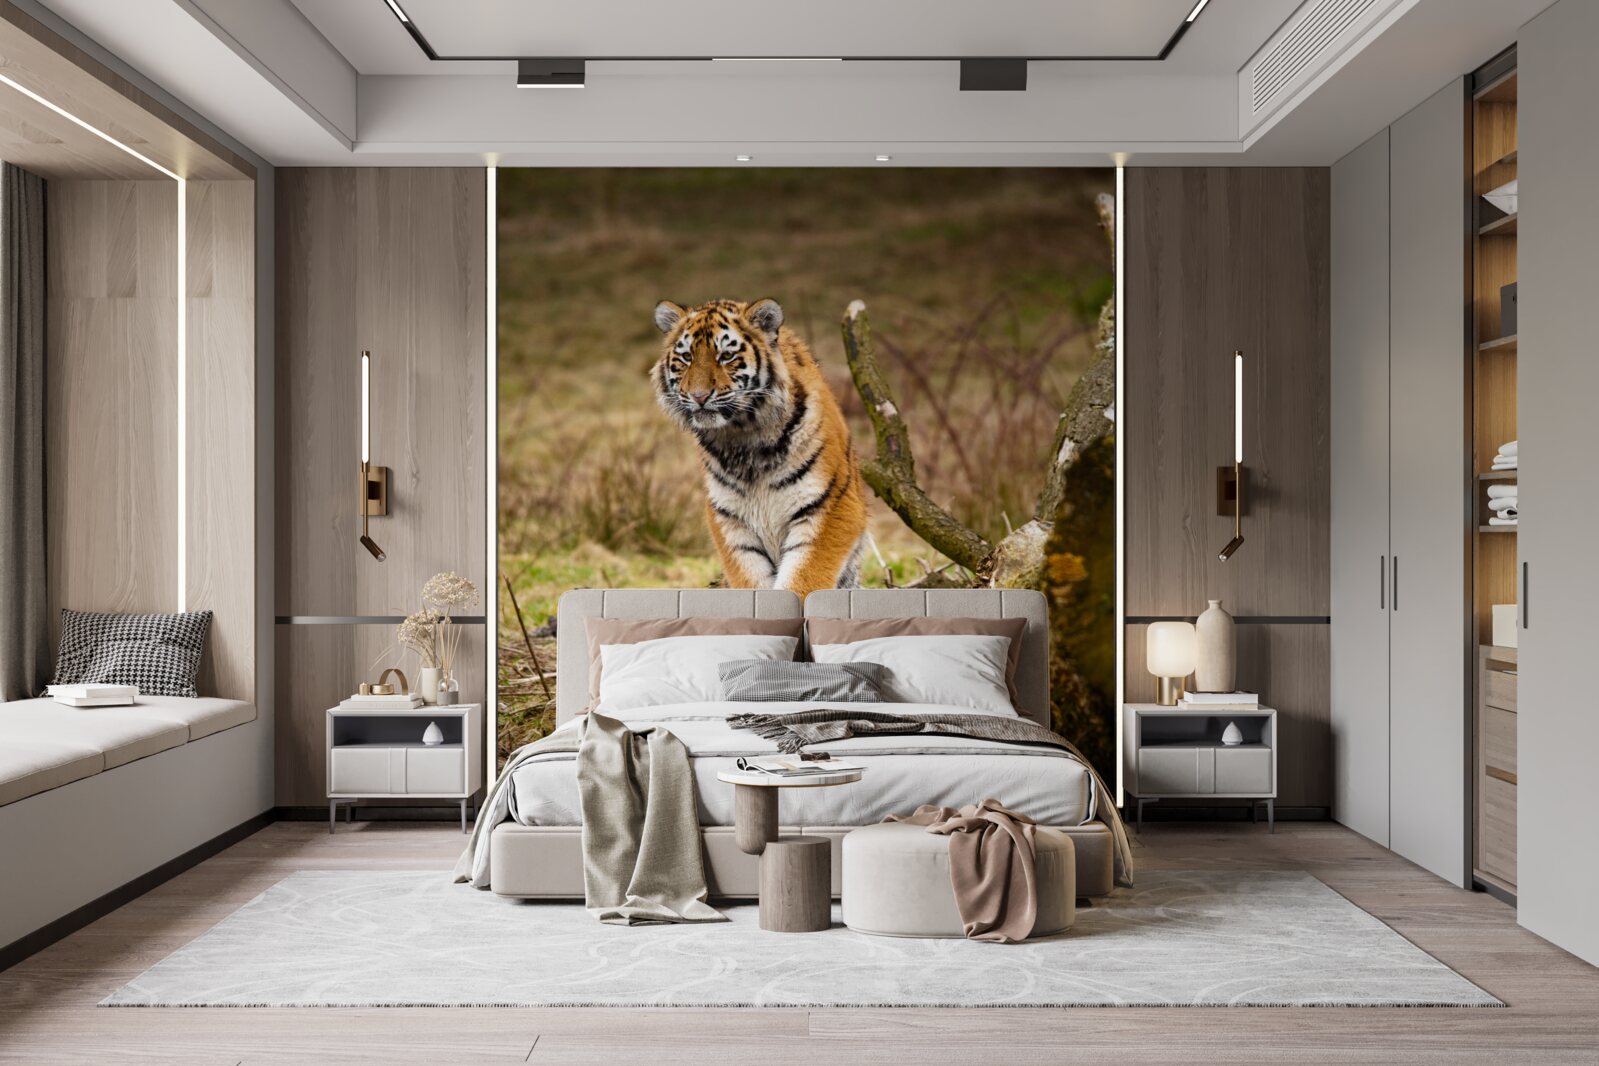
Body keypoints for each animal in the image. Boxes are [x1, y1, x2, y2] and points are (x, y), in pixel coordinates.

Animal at [652, 297, 869, 597]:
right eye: (686, 357)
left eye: (726, 356)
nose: (699, 396)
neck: (743, 436)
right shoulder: (730, 520)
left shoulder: (830, 506)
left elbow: (803, 580)